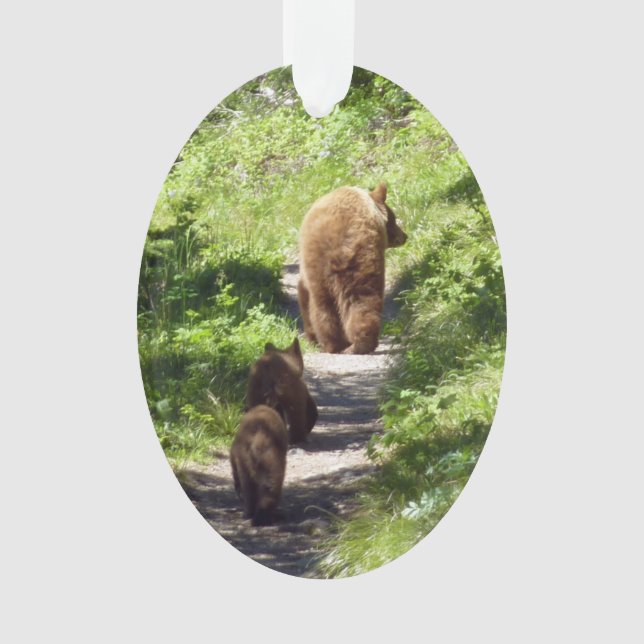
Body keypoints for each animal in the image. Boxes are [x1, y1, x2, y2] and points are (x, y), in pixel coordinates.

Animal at [297, 182, 407, 354]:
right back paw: (355, 344)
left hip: (328, 265)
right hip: (359, 262)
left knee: (325, 305)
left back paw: (335, 345)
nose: (404, 236)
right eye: (394, 218)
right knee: (360, 300)